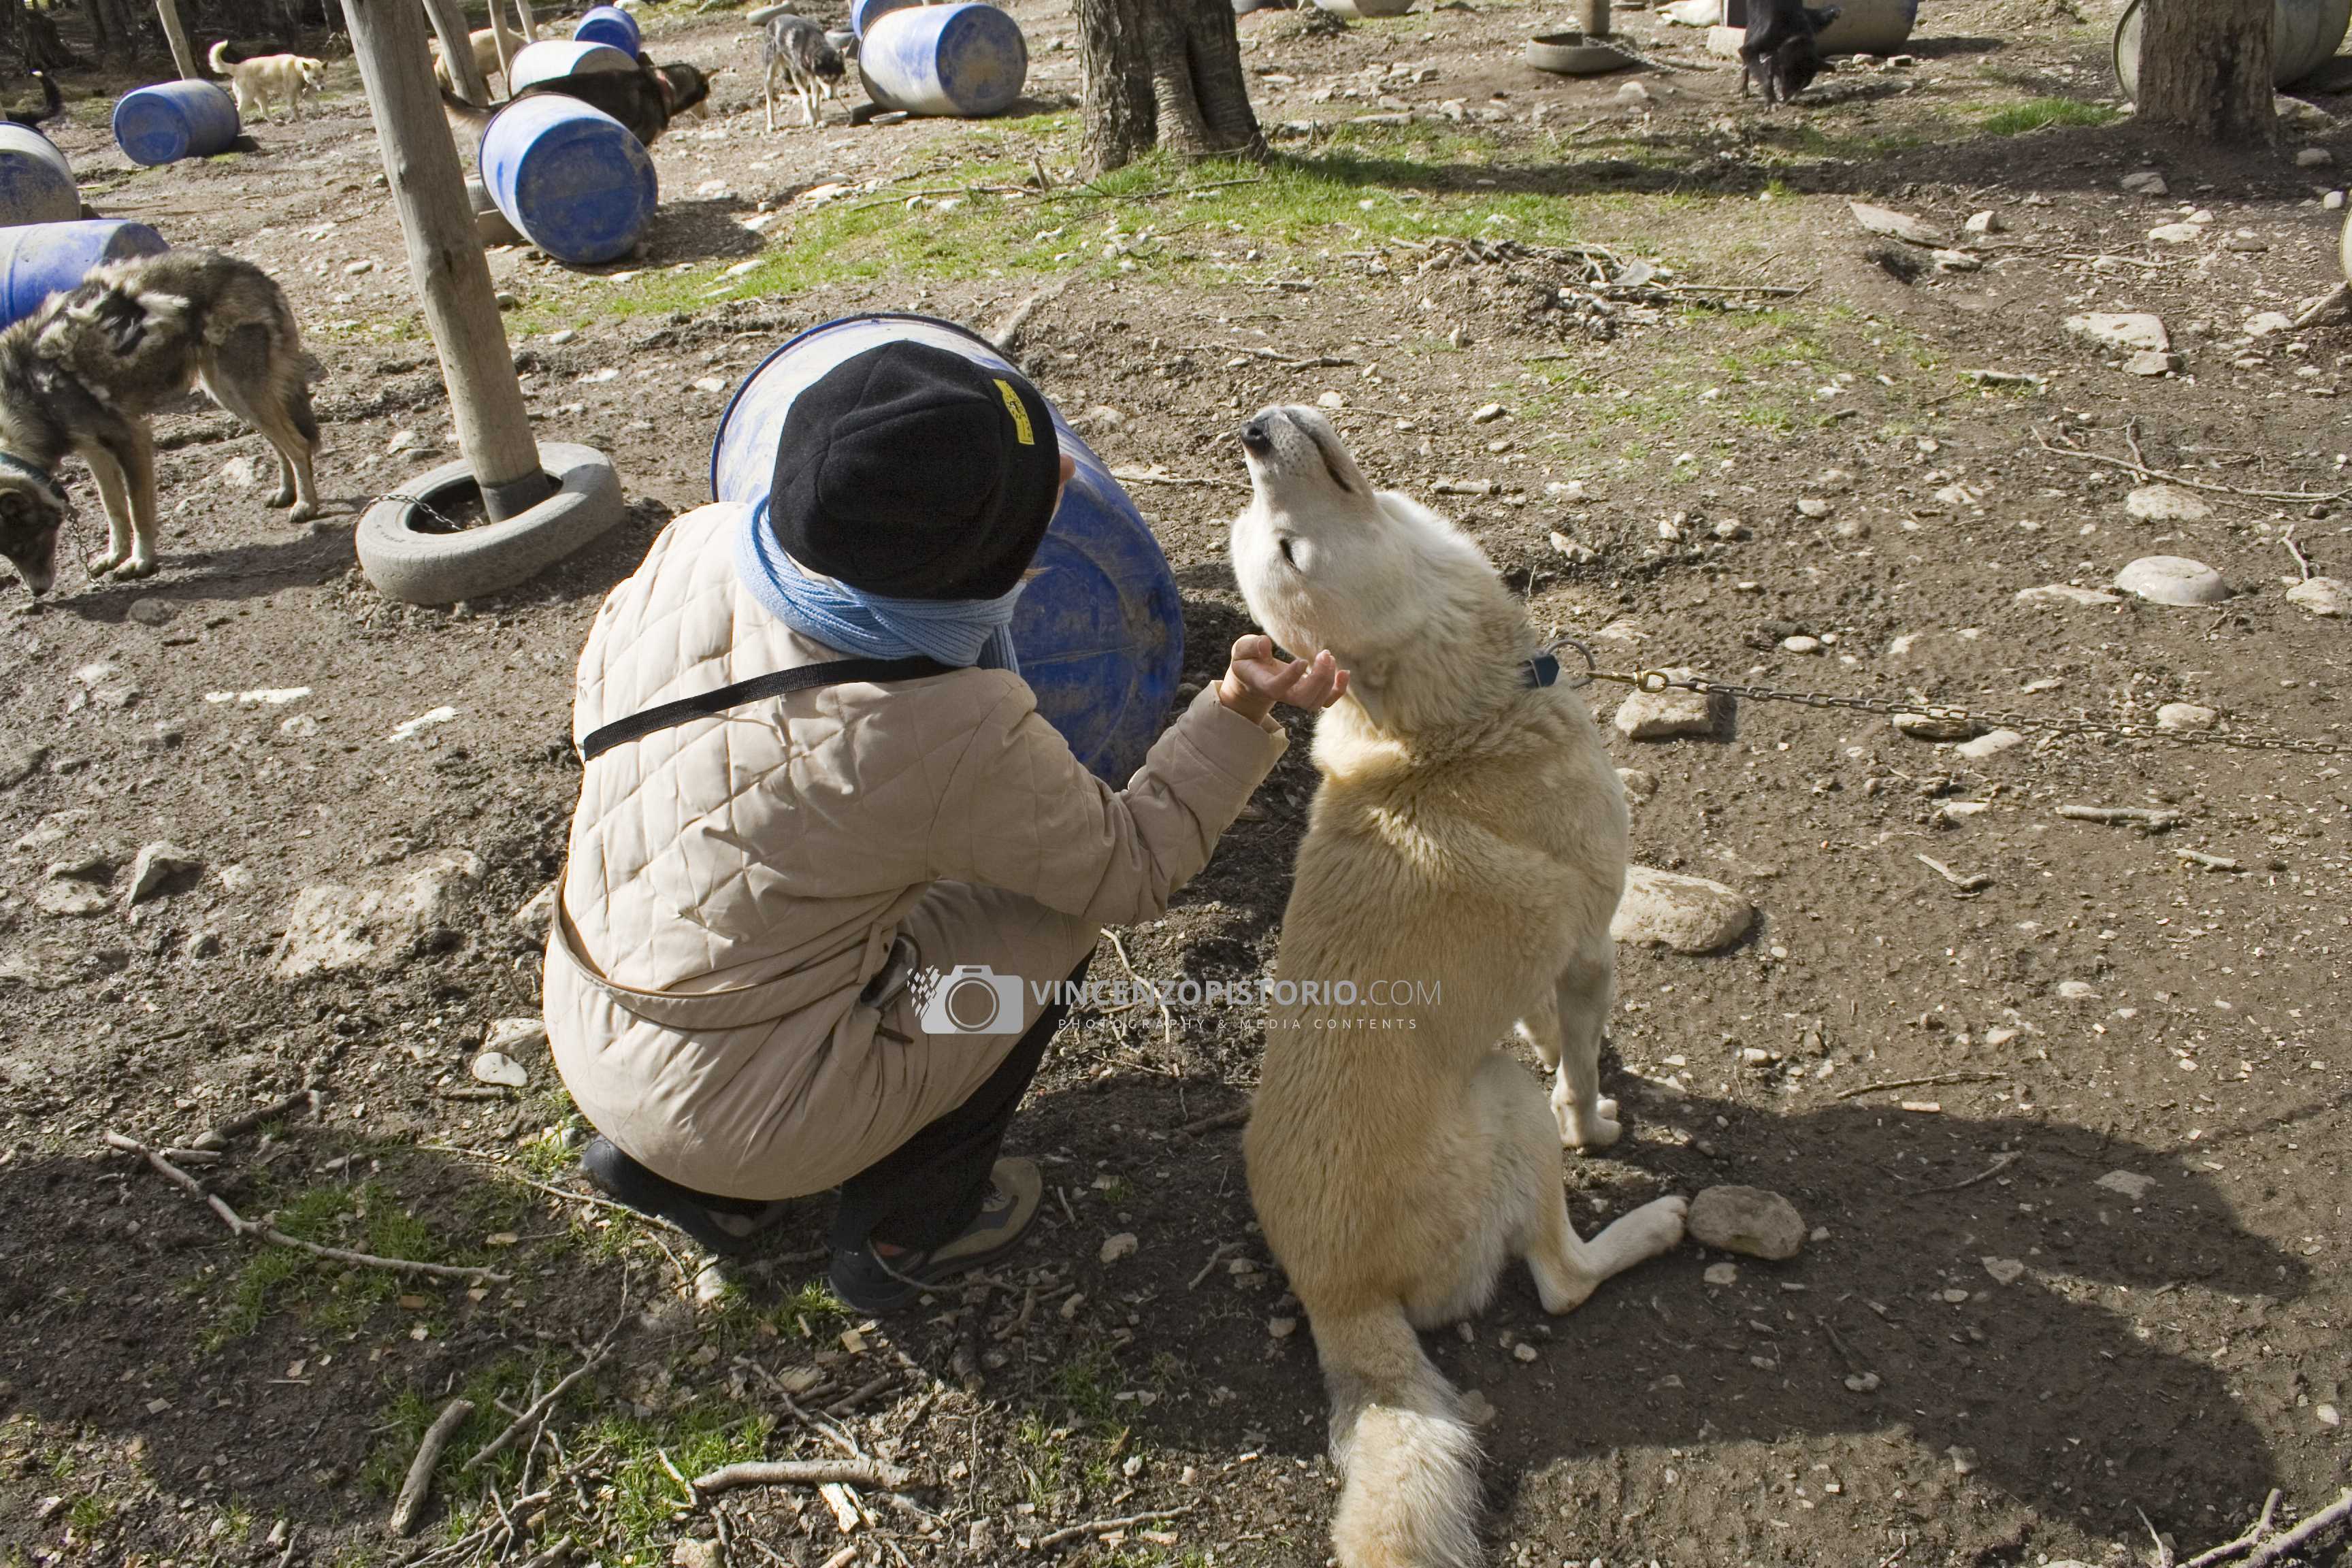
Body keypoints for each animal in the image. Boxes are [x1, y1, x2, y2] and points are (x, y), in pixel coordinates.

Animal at [209, 40, 329, 121]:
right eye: (314, 77)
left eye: (322, 76)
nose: (322, 88)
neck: (296, 68)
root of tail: (237, 67)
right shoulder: (291, 96)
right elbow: (296, 111)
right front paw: (301, 121)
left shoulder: (302, 94)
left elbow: (316, 103)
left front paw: (316, 113)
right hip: (247, 98)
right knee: (239, 113)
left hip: (262, 96)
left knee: (264, 112)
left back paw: (277, 123)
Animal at [1740, 0, 1844, 103]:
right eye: (1791, 78)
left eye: (1804, 84)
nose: (1789, 101)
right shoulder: (1755, 45)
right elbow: (1766, 79)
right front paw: (1772, 101)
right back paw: (1744, 90)